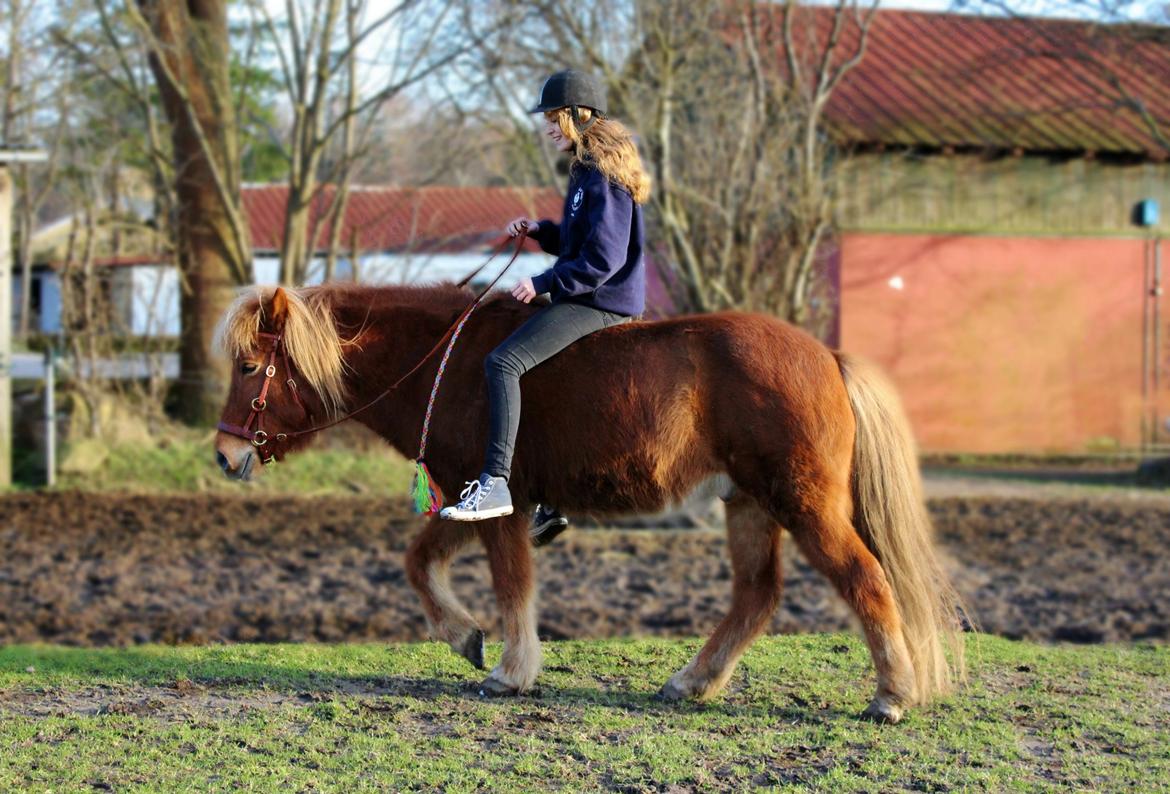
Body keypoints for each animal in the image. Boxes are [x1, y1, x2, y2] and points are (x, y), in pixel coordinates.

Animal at [215, 282, 964, 725]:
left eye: (250, 367)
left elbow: (511, 584)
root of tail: (828, 356)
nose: (223, 455)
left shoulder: (502, 505)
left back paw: (891, 695)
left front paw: (511, 671)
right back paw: (693, 681)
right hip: (748, 503)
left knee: (865, 579)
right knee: (757, 594)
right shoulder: (475, 500)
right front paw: (465, 637)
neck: (448, 364)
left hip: (801, 502)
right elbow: (418, 561)